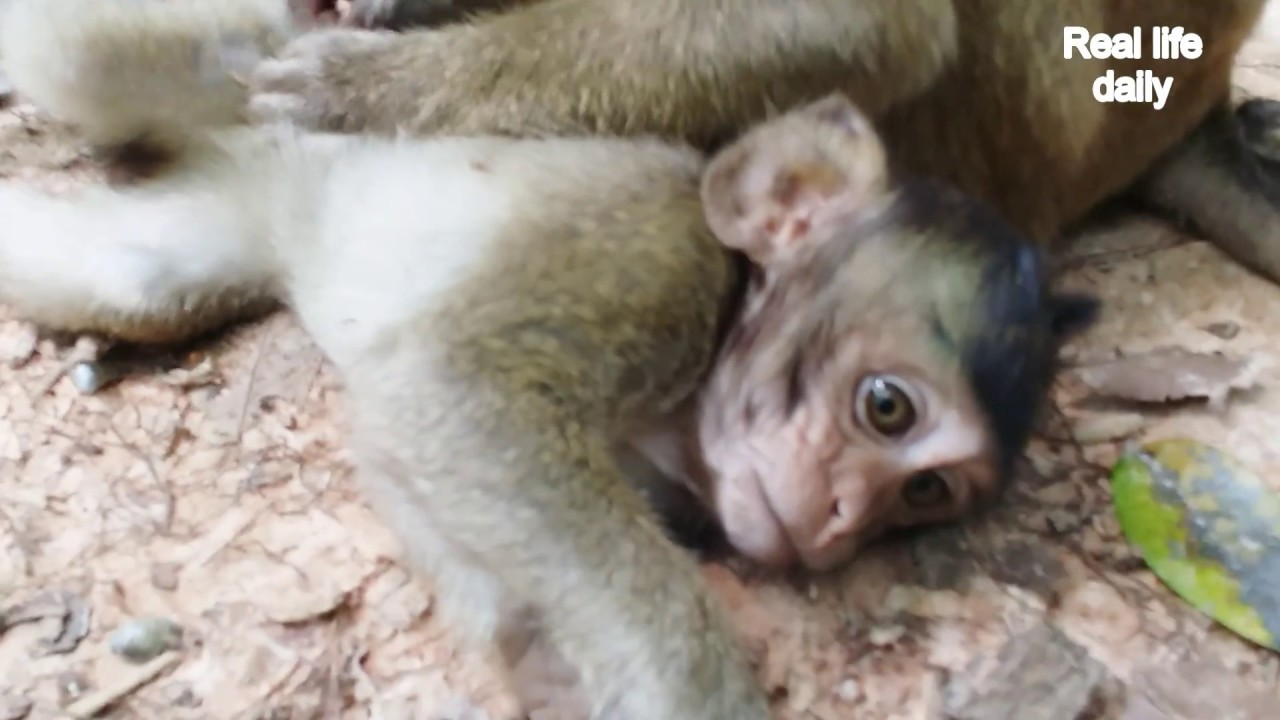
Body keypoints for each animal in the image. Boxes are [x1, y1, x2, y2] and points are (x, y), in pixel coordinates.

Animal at [0, 2, 1099, 717]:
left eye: (921, 496)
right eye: (886, 407)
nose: (838, 521)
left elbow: (412, 450)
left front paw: (539, 663)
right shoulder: (654, 262)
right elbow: (458, 389)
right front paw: (687, 691)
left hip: (236, 200)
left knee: (133, 272)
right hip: (237, 78)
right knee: (94, 51)